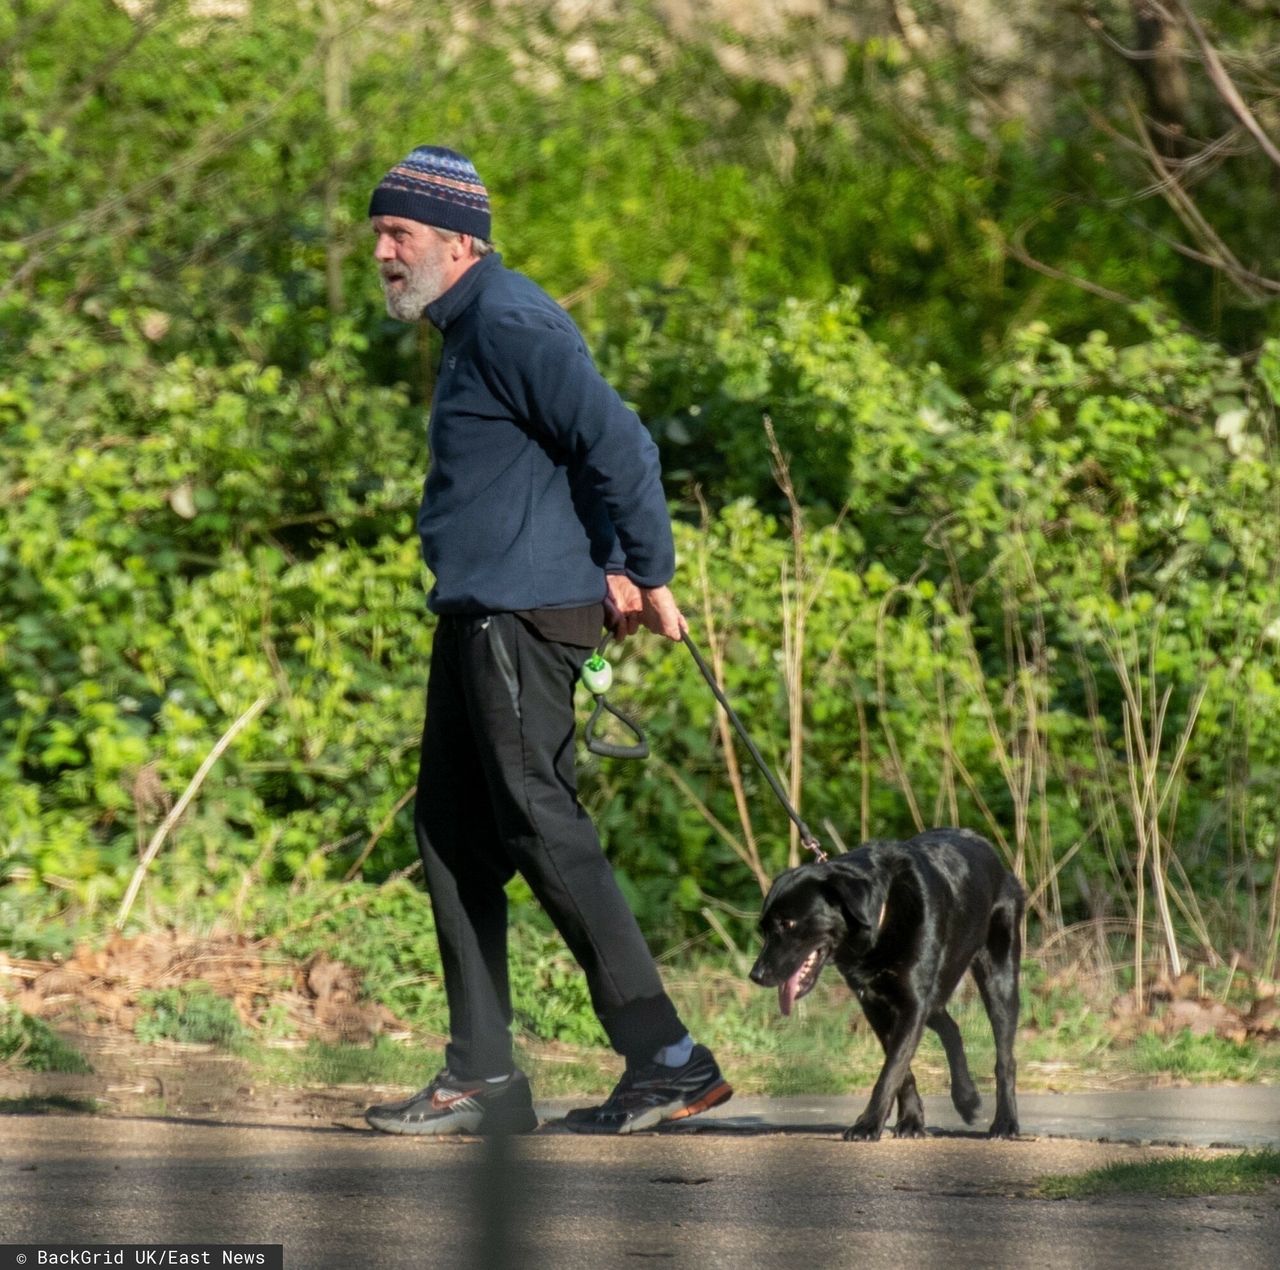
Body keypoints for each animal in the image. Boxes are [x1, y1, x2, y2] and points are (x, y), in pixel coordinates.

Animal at [747, 824, 1024, 1141]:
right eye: (764, 928)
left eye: (788, 923)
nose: (756, 975)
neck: (880, 917)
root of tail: (985, 846)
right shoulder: (876, 1005)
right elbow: (901, 1070)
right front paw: (912, 1121)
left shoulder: (912, 1005)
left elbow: (891, 1071)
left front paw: (868, 1124)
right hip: (934, 994)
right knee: (951, 1028)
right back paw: (966, 1099)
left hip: (998, 978)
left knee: (1005, 1058)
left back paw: (1005, 1122)